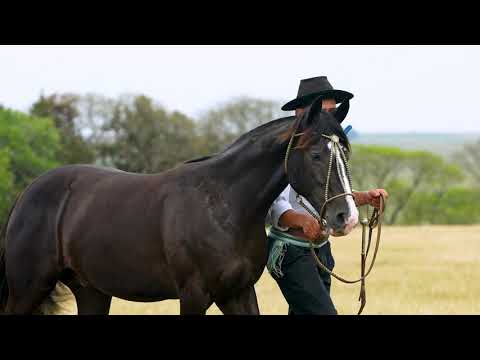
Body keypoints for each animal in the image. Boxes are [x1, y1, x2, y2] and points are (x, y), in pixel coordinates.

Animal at [0, 96, 356, 316]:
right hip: (28, 289)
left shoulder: (238, 293)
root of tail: (27, 192)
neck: (224, 205)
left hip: (92, 291)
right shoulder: (193, 295)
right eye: (316, 155)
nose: (346, 216)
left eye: (345, 153)